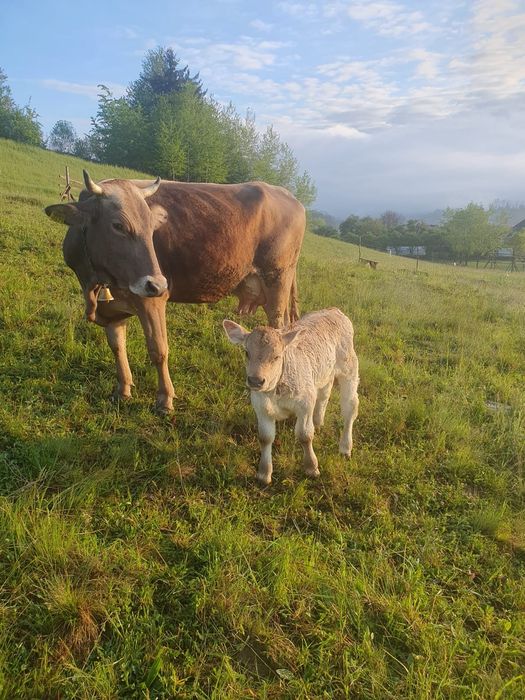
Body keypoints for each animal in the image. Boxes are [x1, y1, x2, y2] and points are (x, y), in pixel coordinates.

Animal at [45, 171, 305, 413]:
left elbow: (158, 350)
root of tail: (288, 195)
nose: (158, 283)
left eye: (152, 228)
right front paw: (123, 389)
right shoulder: (112, 309)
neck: (95, 283)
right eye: (118, 225)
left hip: (277, 282)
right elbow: (117, 346)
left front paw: (164, 399)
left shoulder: (152, 301)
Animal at [223, 308, 359, 485]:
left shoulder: (305, 403)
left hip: (349, 367)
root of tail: (334, 310)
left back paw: (345, 447)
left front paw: (311, 467)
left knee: (350, 408)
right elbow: (265, 437)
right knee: (324, 393)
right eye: (247, 353)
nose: (255, 381)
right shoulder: (260, 406)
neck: (274, 393)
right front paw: (264, 473)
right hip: (323, 372)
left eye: (277, 356)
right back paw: (318, 422)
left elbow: (305, 435)